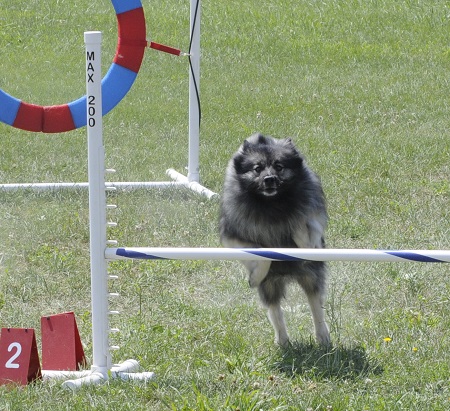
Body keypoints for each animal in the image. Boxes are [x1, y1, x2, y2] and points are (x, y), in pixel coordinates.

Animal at [219, 134, 330, 346]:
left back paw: (322, 336)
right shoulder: (233, 237)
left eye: (279, 166)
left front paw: (297, 229)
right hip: (269, 286)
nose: (269, 179)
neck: (272, 203)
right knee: (275, 310)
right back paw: (282, 340)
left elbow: (306, 235)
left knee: (315, 306)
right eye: (257, 168)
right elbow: (263, 256)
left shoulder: (314, 220)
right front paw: (254, 276)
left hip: (310, 276)